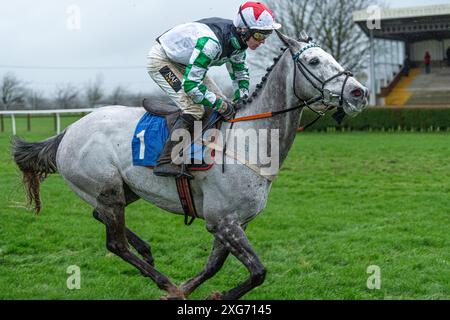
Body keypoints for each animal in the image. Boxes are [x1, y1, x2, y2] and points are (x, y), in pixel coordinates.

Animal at [11, 32, 370, 300]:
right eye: (314, 61)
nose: (359, 92)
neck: (248, 139)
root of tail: (68, 131)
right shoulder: (223, 221)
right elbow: (258, 271)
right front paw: (193, 292)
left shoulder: (234, 222)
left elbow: (215, 266)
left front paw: (188, 289)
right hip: (107, 188)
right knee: (115, 242)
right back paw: (162, 278)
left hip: (123, 190)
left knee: (100, 217)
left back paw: (148, 252)